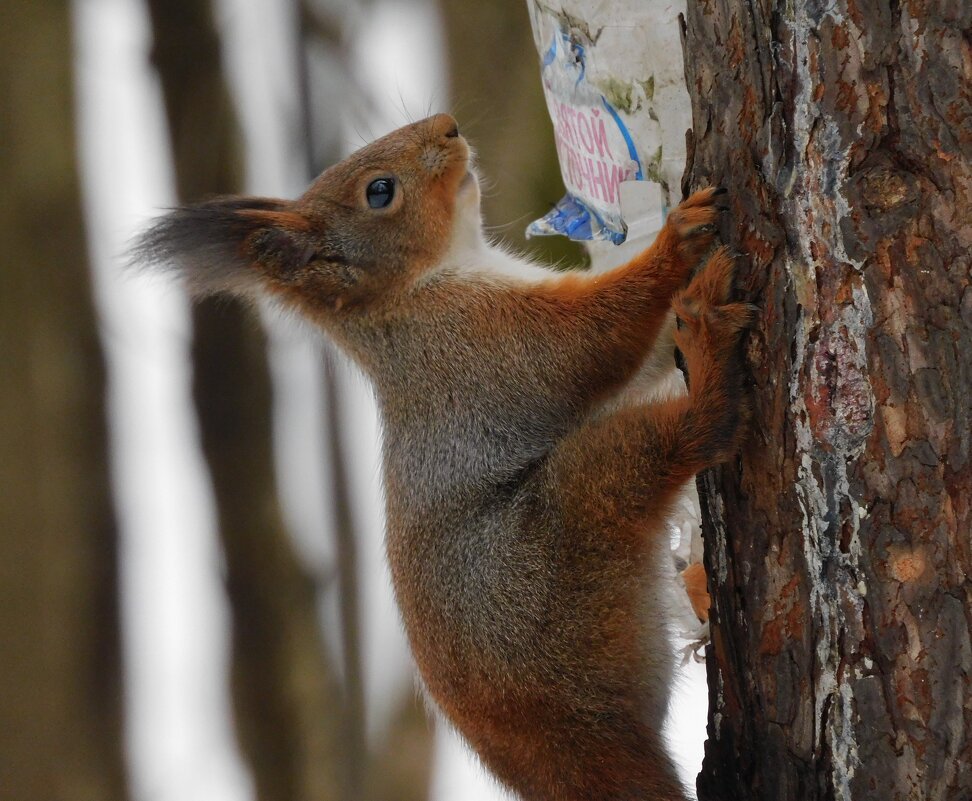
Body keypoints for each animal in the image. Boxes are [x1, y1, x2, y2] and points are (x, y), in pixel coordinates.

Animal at [139, 114, 752, 800]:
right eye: (379, 191)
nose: (447, 126)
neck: (414, 295)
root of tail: (561, 752)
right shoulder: (483, 343)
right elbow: (595, 338)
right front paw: (677, 239)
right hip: (565, 543)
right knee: (689, 438)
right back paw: (709, 353)